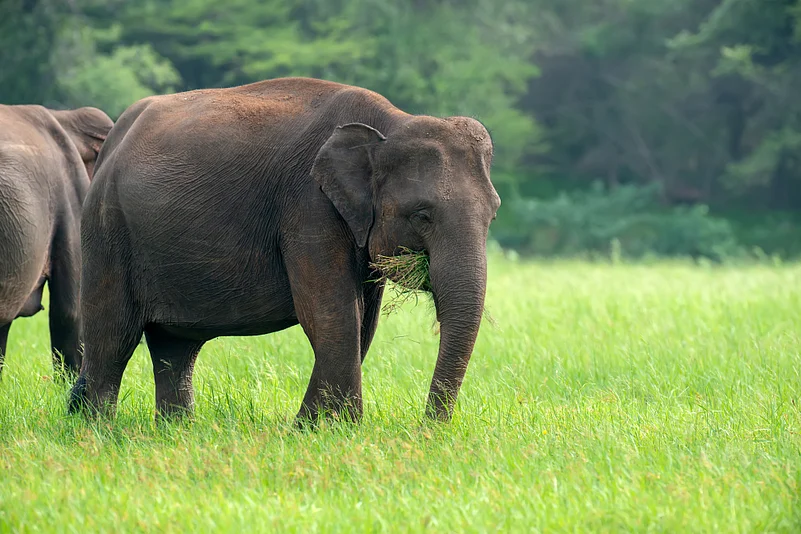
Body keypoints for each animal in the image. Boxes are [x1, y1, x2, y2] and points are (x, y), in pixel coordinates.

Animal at [68, 77, 500, 424]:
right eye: (422, 215)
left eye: (493, 213)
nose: (427, 428)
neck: (391, 122)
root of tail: (114, 139)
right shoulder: (308, 207)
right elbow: (332, 313)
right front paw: (335, 430)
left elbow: (364, 321)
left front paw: (313, 427)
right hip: (107, 231)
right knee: (113, 335)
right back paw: (99, 432)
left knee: (175, 346)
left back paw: (177, 431)